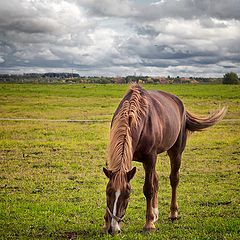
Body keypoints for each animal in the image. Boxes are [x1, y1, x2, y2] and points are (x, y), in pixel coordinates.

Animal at [102, 84, 226, 234]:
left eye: (127, 194)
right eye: (108, 192)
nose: (113, 229)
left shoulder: (150, 158)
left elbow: (148, 189)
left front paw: (149, 224)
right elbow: (152, 185)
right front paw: (106, 224)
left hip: (175, 152)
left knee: (174, 179)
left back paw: (173, 214)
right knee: (156, 181)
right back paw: (155, 214)